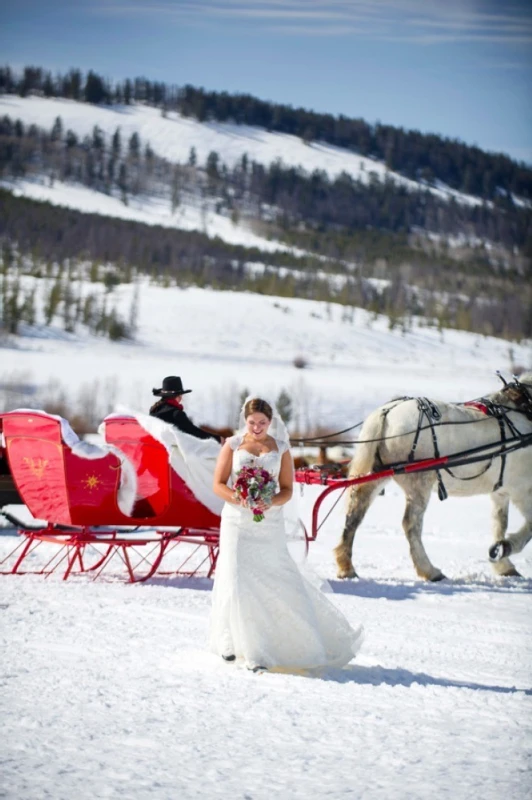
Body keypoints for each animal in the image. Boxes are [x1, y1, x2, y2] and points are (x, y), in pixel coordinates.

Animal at [334, 376, 532, 580]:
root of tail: (386, 412)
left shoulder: (501, 491)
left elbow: (499, 524)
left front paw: (502, 563)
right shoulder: (522, 489)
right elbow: (529, 526)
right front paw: (506, 548)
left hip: (379, 473)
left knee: (355, 512)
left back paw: (346, 566)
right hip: (419, 483)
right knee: (411, 524)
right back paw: (429, 570)